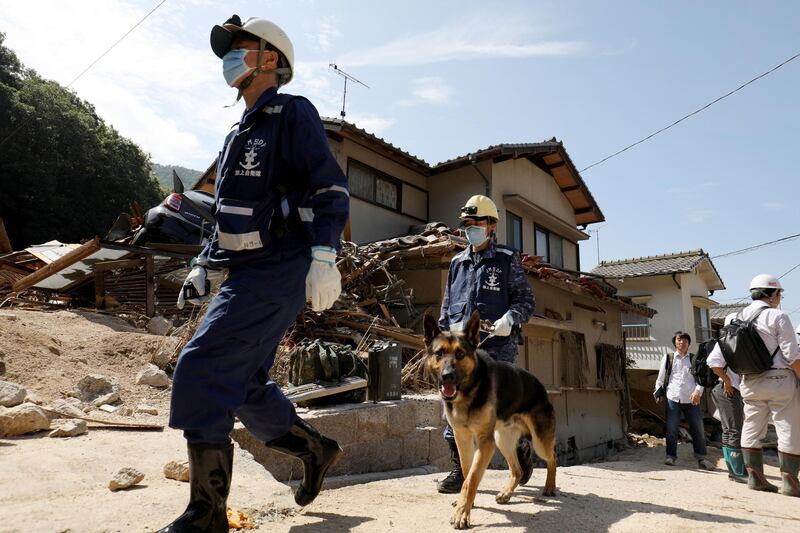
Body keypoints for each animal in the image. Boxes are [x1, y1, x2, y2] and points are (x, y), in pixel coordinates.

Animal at [424, 310, 556, 524]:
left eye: (460, 354)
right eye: (439, 353)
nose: (447, 376)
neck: (469, 391)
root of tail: (541, 387)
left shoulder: (485, 442)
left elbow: (472, 478)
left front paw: (462, 512)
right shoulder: (462, 438)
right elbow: (467, 472)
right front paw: (465, 503)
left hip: (538, 441)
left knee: (552, 457)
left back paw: (550, 487)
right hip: (502, 440)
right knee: (517, 470)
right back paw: (506, 494)